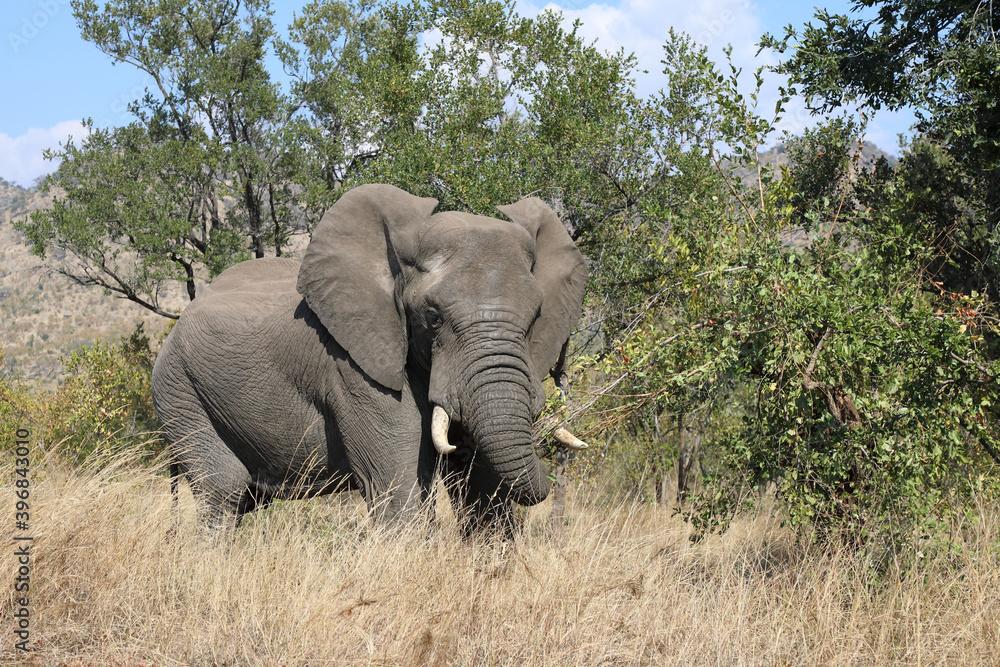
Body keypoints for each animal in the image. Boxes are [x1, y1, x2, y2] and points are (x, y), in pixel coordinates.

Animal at [151, 183, 588, 536]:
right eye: (432, 318)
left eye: (536, 316)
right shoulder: (355, 370)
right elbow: (400, 495)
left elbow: (483, 491)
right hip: (180, 392)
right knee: (222, 493)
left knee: (243, 500)